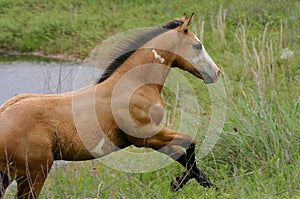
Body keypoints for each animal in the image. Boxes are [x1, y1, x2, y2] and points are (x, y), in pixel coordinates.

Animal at [0, 13, 220, 198]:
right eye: (198, 45)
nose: (216, 72)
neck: (135, 84)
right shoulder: (147, 135)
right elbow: (190, 142)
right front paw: (181, 183)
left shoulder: (151, 138)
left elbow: (182, 156)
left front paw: (205, 184)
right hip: (34, 173)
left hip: (7, 175)